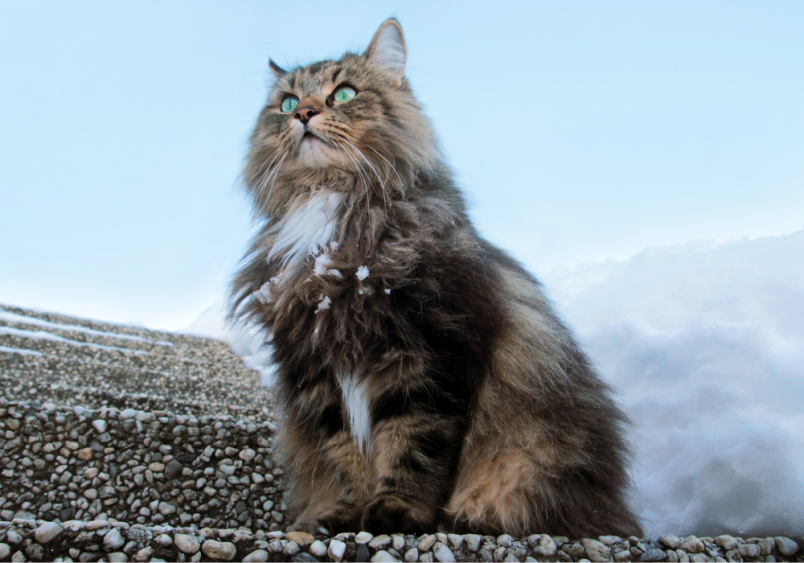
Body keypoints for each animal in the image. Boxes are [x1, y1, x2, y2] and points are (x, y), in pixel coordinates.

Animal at [229, 17, 644, 536]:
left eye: (343, 94)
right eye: (285, 102)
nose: (303, 113)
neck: (329, 207)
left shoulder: (430, 351)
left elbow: (413, 443)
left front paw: (396, 511)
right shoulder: (316, 370)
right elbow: (347, 454)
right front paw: (347, 513)